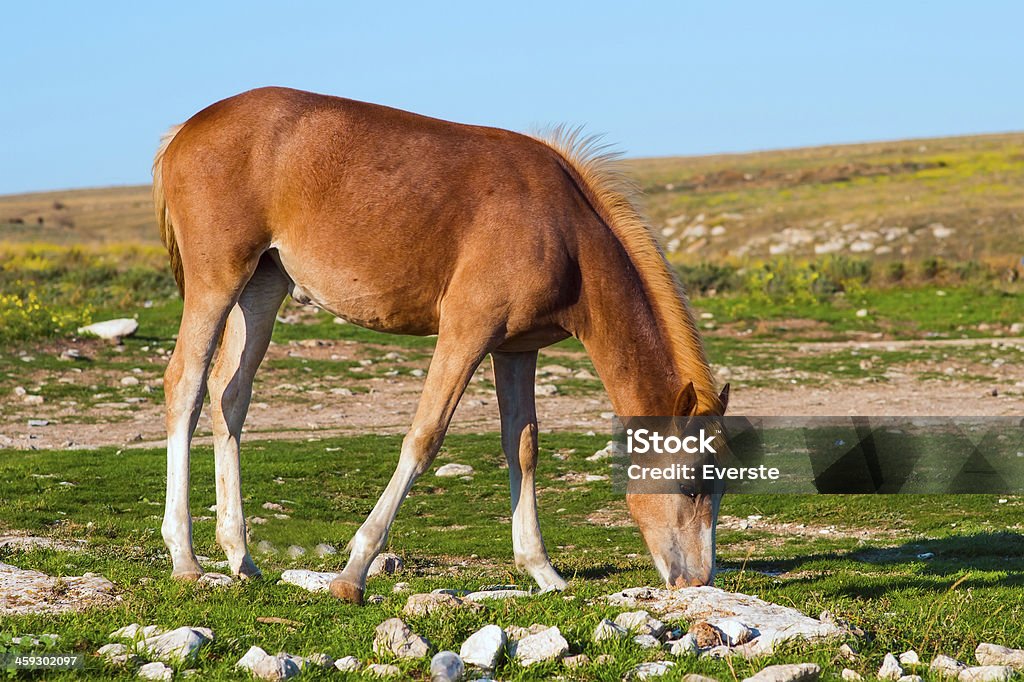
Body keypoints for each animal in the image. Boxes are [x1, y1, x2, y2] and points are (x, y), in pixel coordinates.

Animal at [151, 86, 729, 602]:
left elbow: (522, 446)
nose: (696, 581)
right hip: (217, 281)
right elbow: (424, 437)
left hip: (261, 288)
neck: (564, 232)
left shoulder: (516, 349)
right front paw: (353, 572)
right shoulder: (465, 332)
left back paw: (240, 557)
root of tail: (186, 130)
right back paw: (186, 559)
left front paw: (542, 571)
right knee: (186, 385)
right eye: (692, 484)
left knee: (230, 396)